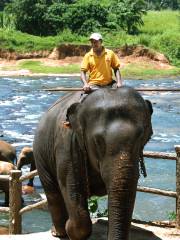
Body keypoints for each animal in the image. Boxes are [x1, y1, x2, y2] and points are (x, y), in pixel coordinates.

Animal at [33, 86, 153, 240]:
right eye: (98, 141)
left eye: (143, 137)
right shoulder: (67, 145)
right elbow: (71, 186)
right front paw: (69, 228)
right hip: (40, 154)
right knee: (52, 191)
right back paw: (59, 232)